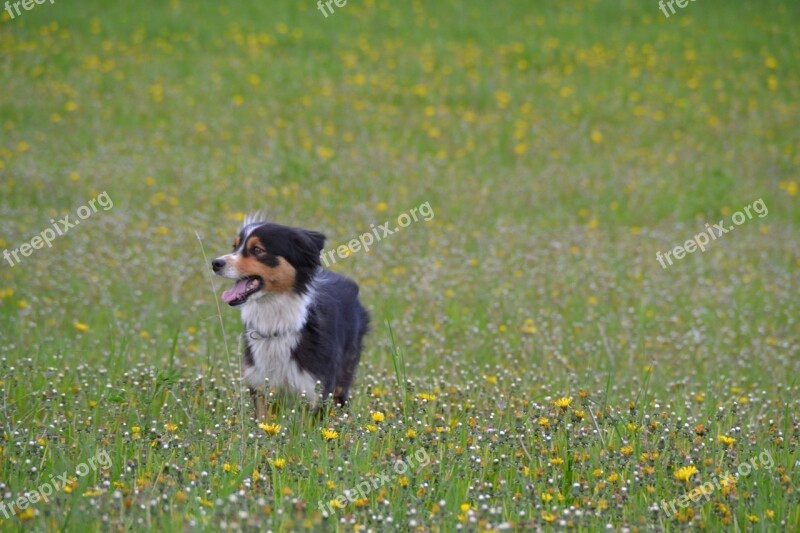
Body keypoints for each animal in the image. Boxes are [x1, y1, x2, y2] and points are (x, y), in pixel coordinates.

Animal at [214, 214, 374, 418]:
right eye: (234, 246)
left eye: (257, 250)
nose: (215, 263)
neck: (275, 322)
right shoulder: (260, 386)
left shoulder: (314, 390)